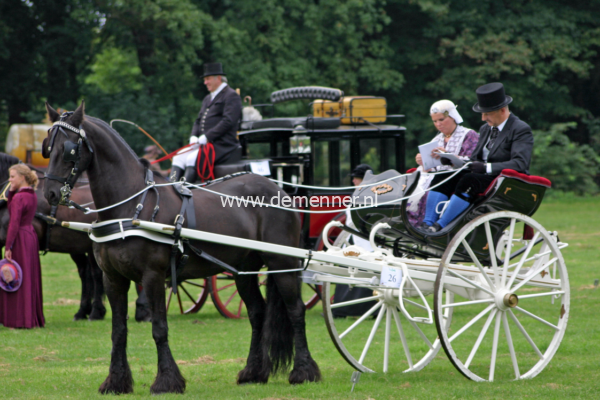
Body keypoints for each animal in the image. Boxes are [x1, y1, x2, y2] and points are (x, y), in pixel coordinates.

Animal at [42, 102, 318, 394]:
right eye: (48, 147)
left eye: (69, 149)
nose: (50, 194)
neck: (130, 206)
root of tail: (280, 190)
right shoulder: (113, 278)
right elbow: (118, 331)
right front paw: (116, 381)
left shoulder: (152, 276)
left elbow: (159, 328)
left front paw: (166, 381)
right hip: (244, 271)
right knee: (258, 313)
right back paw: (253, 372)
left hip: (282, 264)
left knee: (296, 311)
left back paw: (303, 371)